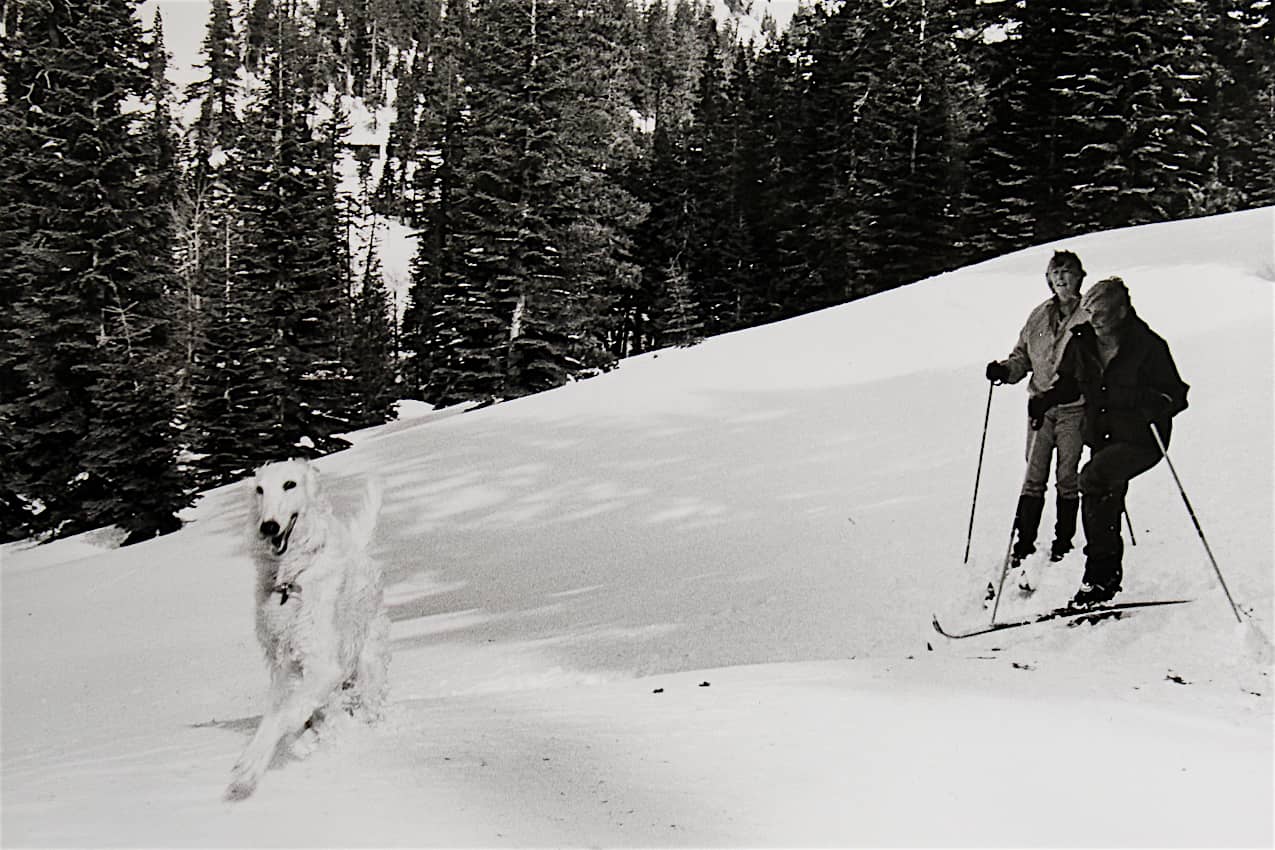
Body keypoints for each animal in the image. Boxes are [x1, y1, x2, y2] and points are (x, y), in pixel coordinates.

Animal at [226, 461, 387, 800]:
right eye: (259, 490)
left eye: (290, 484)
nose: (268, 527)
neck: (290, 580)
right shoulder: (282, 665)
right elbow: (278, 715)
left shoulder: (324, 666)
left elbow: (285, 716)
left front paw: (249, 767)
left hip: (370, 658)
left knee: (369, 701)